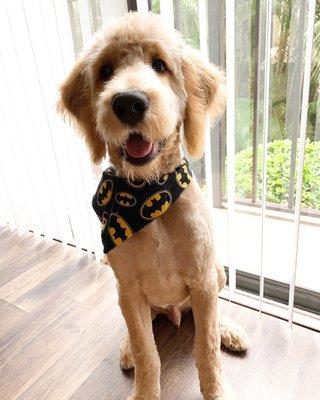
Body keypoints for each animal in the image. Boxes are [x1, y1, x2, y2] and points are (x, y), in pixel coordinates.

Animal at [58, 12, 249, 400]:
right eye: (105, 71)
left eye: (160, 65)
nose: (128, 102)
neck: (147, 197)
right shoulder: (129, 289)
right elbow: (147, 351)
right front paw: (144, 388)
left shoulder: (203, 280)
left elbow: (206, 347)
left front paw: (216, 388)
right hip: (127, 297)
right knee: (139, 330)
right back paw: (127, 348)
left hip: (216, 272)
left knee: (213, 314)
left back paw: (229, 329)